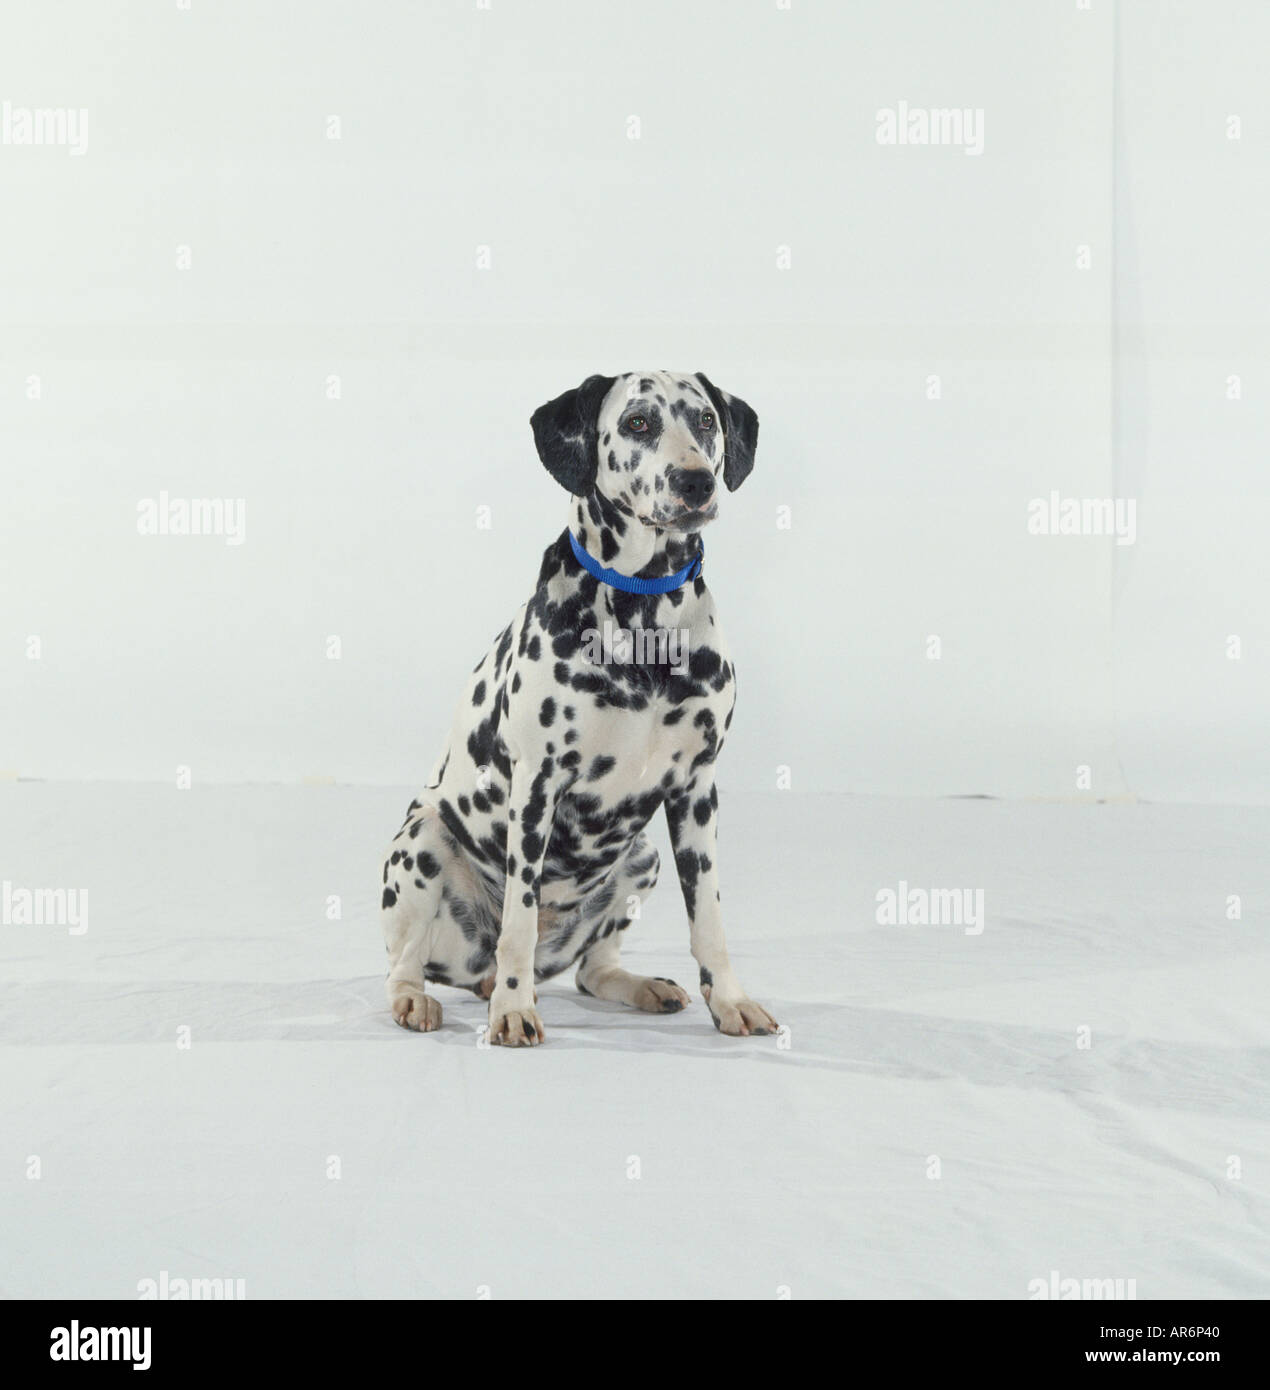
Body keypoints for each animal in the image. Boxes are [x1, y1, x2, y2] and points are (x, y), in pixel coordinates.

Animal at [375, 369, 772, 1045]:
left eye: (706, 422)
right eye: (638, 422)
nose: (696, 481)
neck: (644, 614)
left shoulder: (696, 792)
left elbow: (709, 920)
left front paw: (730, 1001)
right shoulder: (536, 786)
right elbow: (518, 921)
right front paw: (512, 1010)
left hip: (642, 859)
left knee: (593, 970)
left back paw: (638, 986)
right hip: (420, 845)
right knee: (407, 962)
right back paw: (423, 999)